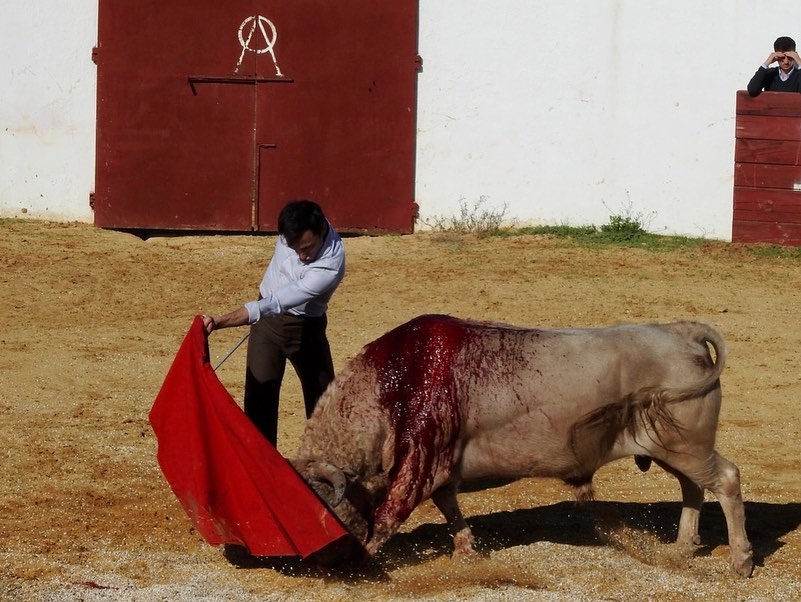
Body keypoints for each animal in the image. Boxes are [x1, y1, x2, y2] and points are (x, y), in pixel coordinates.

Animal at [292, 314, 754, 577]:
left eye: (320, 507)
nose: (316, 560)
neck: (388, 388)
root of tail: (680, 332)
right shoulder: (439, 467)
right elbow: (448, 506)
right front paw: (466, 551)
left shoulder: (417, 460)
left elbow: (389, 514)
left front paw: (362, 561)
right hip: (674, 448)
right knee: (693, 488)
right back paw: (682, 549)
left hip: (685, 446)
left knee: (725, 479)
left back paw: (741, 561)